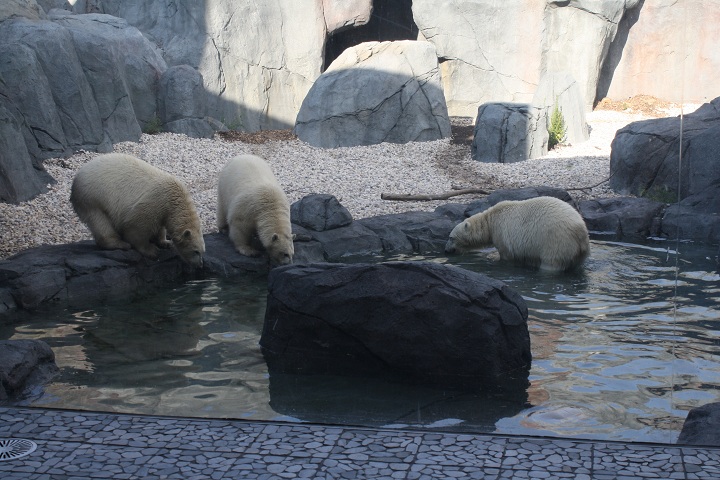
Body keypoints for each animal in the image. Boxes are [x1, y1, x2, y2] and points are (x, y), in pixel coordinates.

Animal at [70, 153, 205, 268]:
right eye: (196, 251)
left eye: (202, 251)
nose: (200, 265)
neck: (174, 198)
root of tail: (77, 177)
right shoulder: (155, 201)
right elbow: (137, 227)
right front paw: (152, 250)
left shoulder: (163, 209)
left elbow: (160, 226)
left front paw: (166, 242)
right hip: (92, 198)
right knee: (100, 222)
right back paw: (120, 244)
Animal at [445, 196, 590, 272]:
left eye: (451, 238)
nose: (446, 250)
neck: (489, 220)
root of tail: (580, 230)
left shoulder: (502, 233)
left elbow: (506, 255)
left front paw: (493, 257)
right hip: (577, 251)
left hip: (556, 241)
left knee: (551, 263)